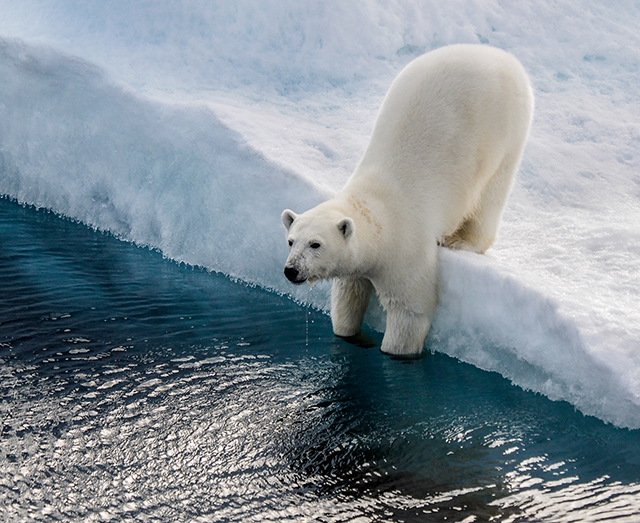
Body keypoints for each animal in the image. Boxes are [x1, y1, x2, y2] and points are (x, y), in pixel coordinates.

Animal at [282, 45, 532, 358]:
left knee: (490, 195)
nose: (291, 270)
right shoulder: (359, 263)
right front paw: (350, 333)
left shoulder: (406, 248)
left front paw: (394, 351)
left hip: (506, 127)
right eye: (291, 241)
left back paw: (460, 240)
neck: (377, 209)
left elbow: (410, 310)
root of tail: (504, 57)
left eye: (316, 244)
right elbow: (349, 293)